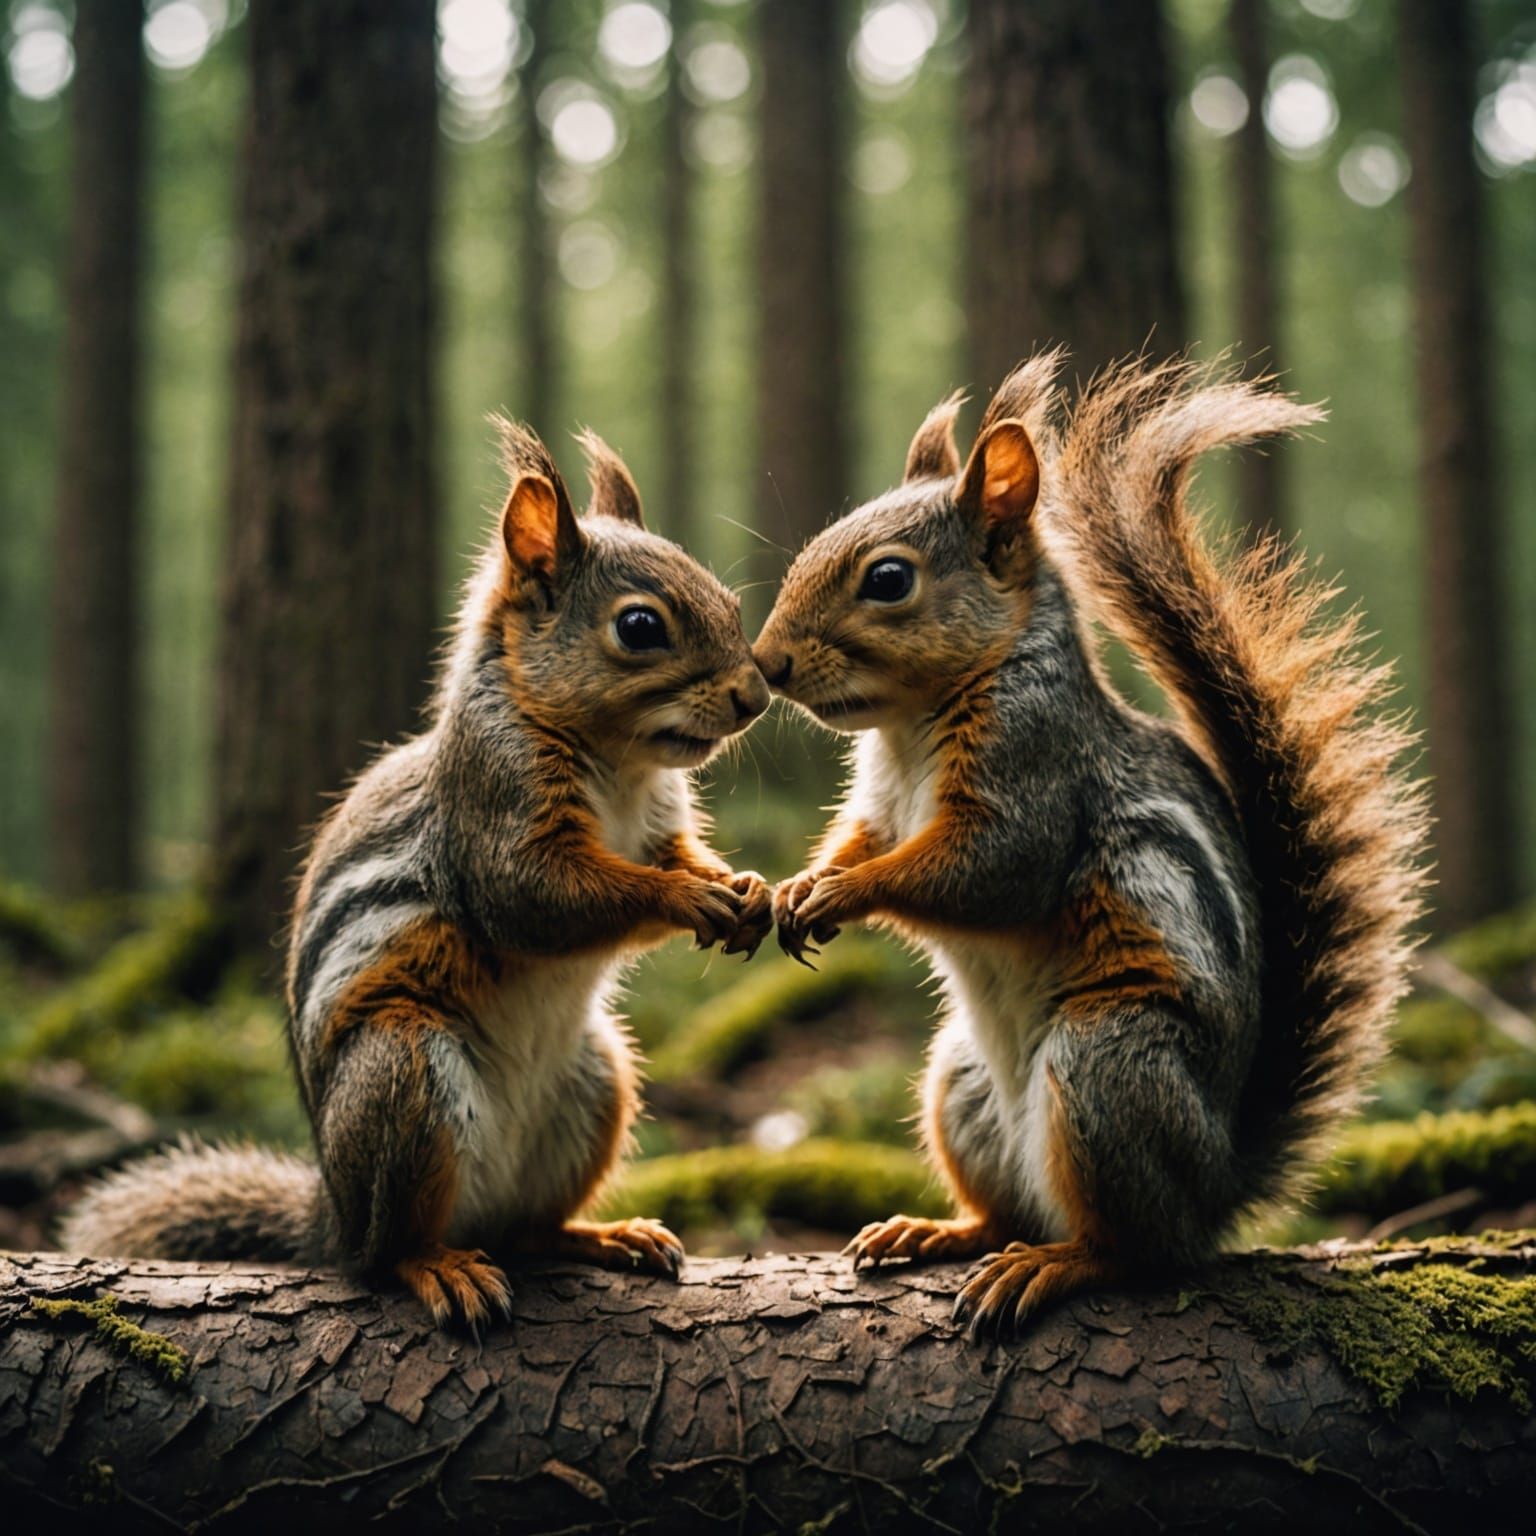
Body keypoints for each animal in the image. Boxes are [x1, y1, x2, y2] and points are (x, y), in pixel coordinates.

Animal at [60, 421, 773, 1327]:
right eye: (640, 626)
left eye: (732, 603)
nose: (756, 696)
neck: (620, 765)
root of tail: (331, 1215)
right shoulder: (493, 809)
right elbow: (536, 900)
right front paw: (688, 898)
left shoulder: (655, 823)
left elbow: (673, 855)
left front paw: (748, 887)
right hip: (404, 1074)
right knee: (389, 1249)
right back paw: (440, 1267)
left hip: (595, 1083)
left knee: (530, 1228)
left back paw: (604, 1236)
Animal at [754, 353, 1427, 1335]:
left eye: (887, 579)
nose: (766, 663)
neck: (912, 726)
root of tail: (1218, 1183)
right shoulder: (879, 801)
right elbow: (861, 838)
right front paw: (796, 887)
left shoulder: (1035, 779)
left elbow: (983, 873)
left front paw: (845, 894)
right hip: (960, 1083)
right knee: (1006, 1212)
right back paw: (937, 1232)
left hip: (1106, 1067)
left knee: (1135, 1249)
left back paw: (1055, 1266)